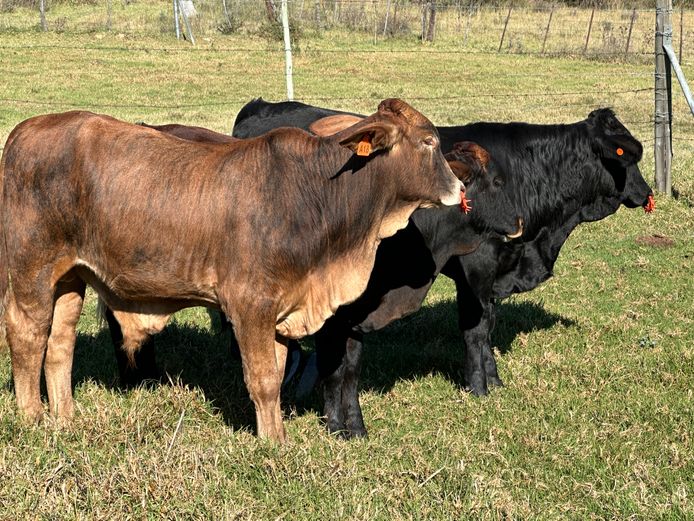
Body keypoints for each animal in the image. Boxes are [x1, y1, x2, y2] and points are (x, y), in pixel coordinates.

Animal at [4, 98, 468, 442]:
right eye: (429, 141)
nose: (461, 188)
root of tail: (24, 131)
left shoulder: (281, 308)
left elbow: (277, 375)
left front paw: (273, 434)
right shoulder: (250, 305)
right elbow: (261, 379)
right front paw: (275, 444)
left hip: (71, 278)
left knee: (59, 344)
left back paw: (65, 416)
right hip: (32, 269)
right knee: (28, 336)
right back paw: (33, 418)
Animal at [231, 98, 656, 438]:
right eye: (629, 157)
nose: (647, 192)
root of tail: (264, 106)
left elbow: (488, 325)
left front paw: (494, 382)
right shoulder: (476, 267)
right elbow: (475, 330)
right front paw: (479, 387)